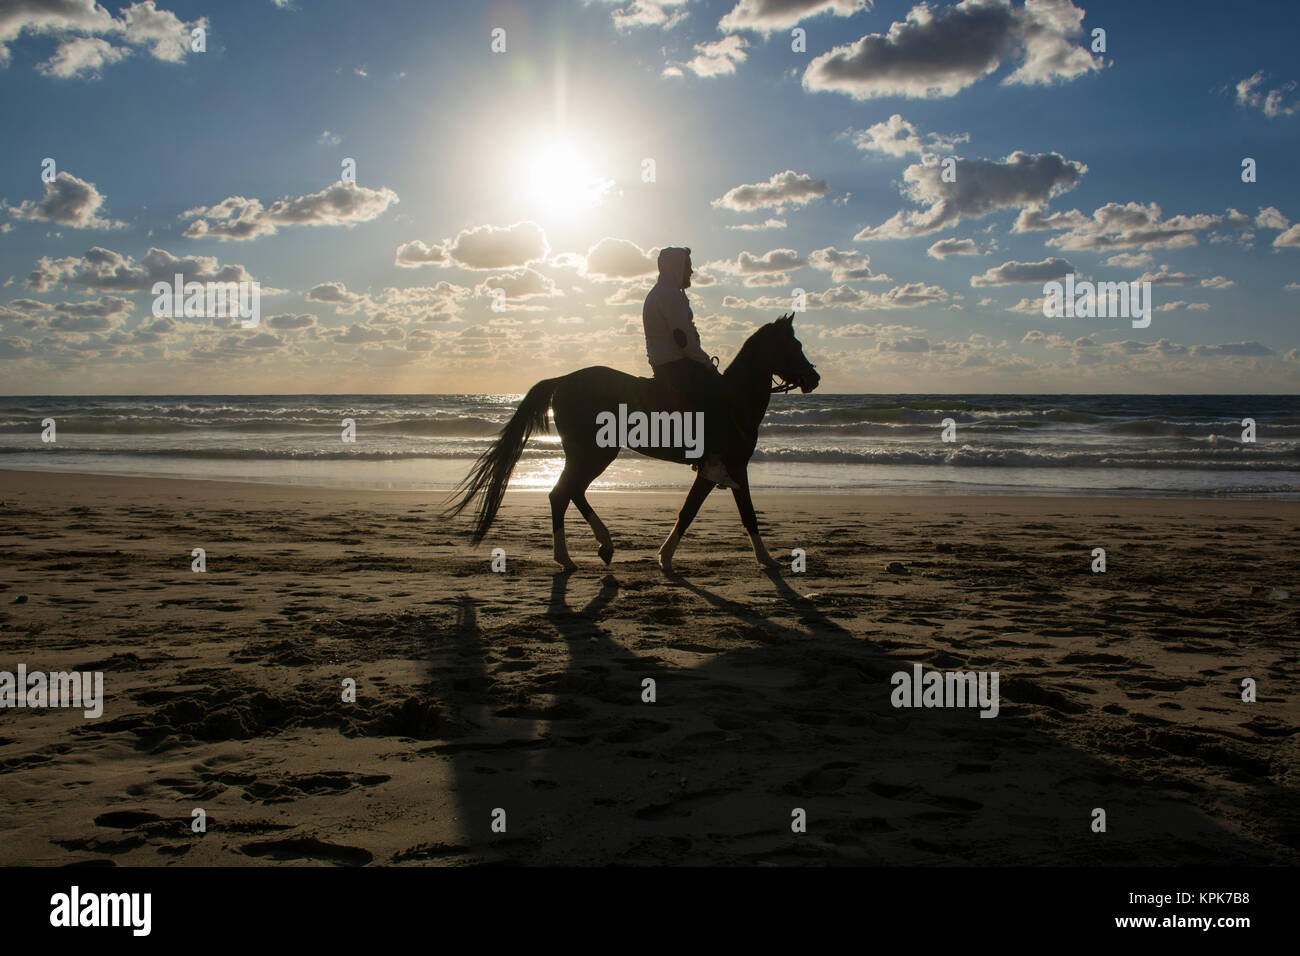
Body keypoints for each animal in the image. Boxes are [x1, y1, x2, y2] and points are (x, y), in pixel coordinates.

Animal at [441, 316, 816, 574]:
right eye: (794, 346)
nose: (815, 378)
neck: (736, 399)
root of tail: (563, 381)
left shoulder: (725, 469)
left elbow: (701, 512)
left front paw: (666, 556)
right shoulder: (730, 466)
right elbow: (733, 513)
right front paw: (767, 560)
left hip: (590, 454)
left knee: (572, 491)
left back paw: (602, 546)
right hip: (594, 453)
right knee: (562, 493)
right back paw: (568, 557)